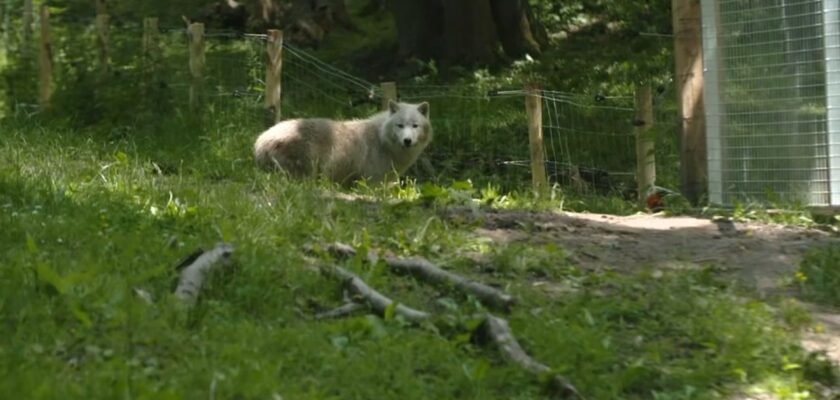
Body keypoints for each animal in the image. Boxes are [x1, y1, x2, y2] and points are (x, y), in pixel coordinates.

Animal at [253, 101, 434, 187]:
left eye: (415, 125)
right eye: (400, 125)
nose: (407, 141)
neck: (382, 140)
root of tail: (260, 141)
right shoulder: (372, 183)